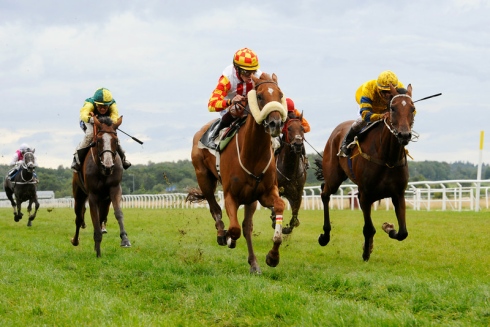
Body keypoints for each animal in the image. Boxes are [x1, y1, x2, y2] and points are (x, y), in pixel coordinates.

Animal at [71, 116, 131, 258]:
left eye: (115, 140)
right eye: (98, 141)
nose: (108, 165)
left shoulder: (115, 189)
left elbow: (118, 213)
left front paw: (125, 239)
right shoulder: (93, 195)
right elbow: (93, 219)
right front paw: (98, 252)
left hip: (105, 201)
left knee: (101, 217)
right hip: (79, 195)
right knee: (79, 217)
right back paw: (75, 240)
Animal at [187, 72, 288, 274]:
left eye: (280, 95)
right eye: (259, 96)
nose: (276, 123)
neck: (253, 153)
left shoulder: (264, 194)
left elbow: (278, 207)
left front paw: (272, 257)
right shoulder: (230, 195)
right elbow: (233, 228)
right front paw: (228, 238)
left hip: (250, 199)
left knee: (247, 227)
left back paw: (254, 263)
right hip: (204, 178)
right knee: (215, 208)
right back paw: (221, 234)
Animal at [314, 84, 418, 262]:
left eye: (412, 108)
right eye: (393, 108)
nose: (404, 135)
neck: (388, 157)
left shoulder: (398, 194)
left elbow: (403, 232)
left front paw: (388, 227)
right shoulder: (365, 194)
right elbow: (369, 228)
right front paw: (366, 252)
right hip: (334, 176)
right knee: (324, 193)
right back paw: (325, 236)